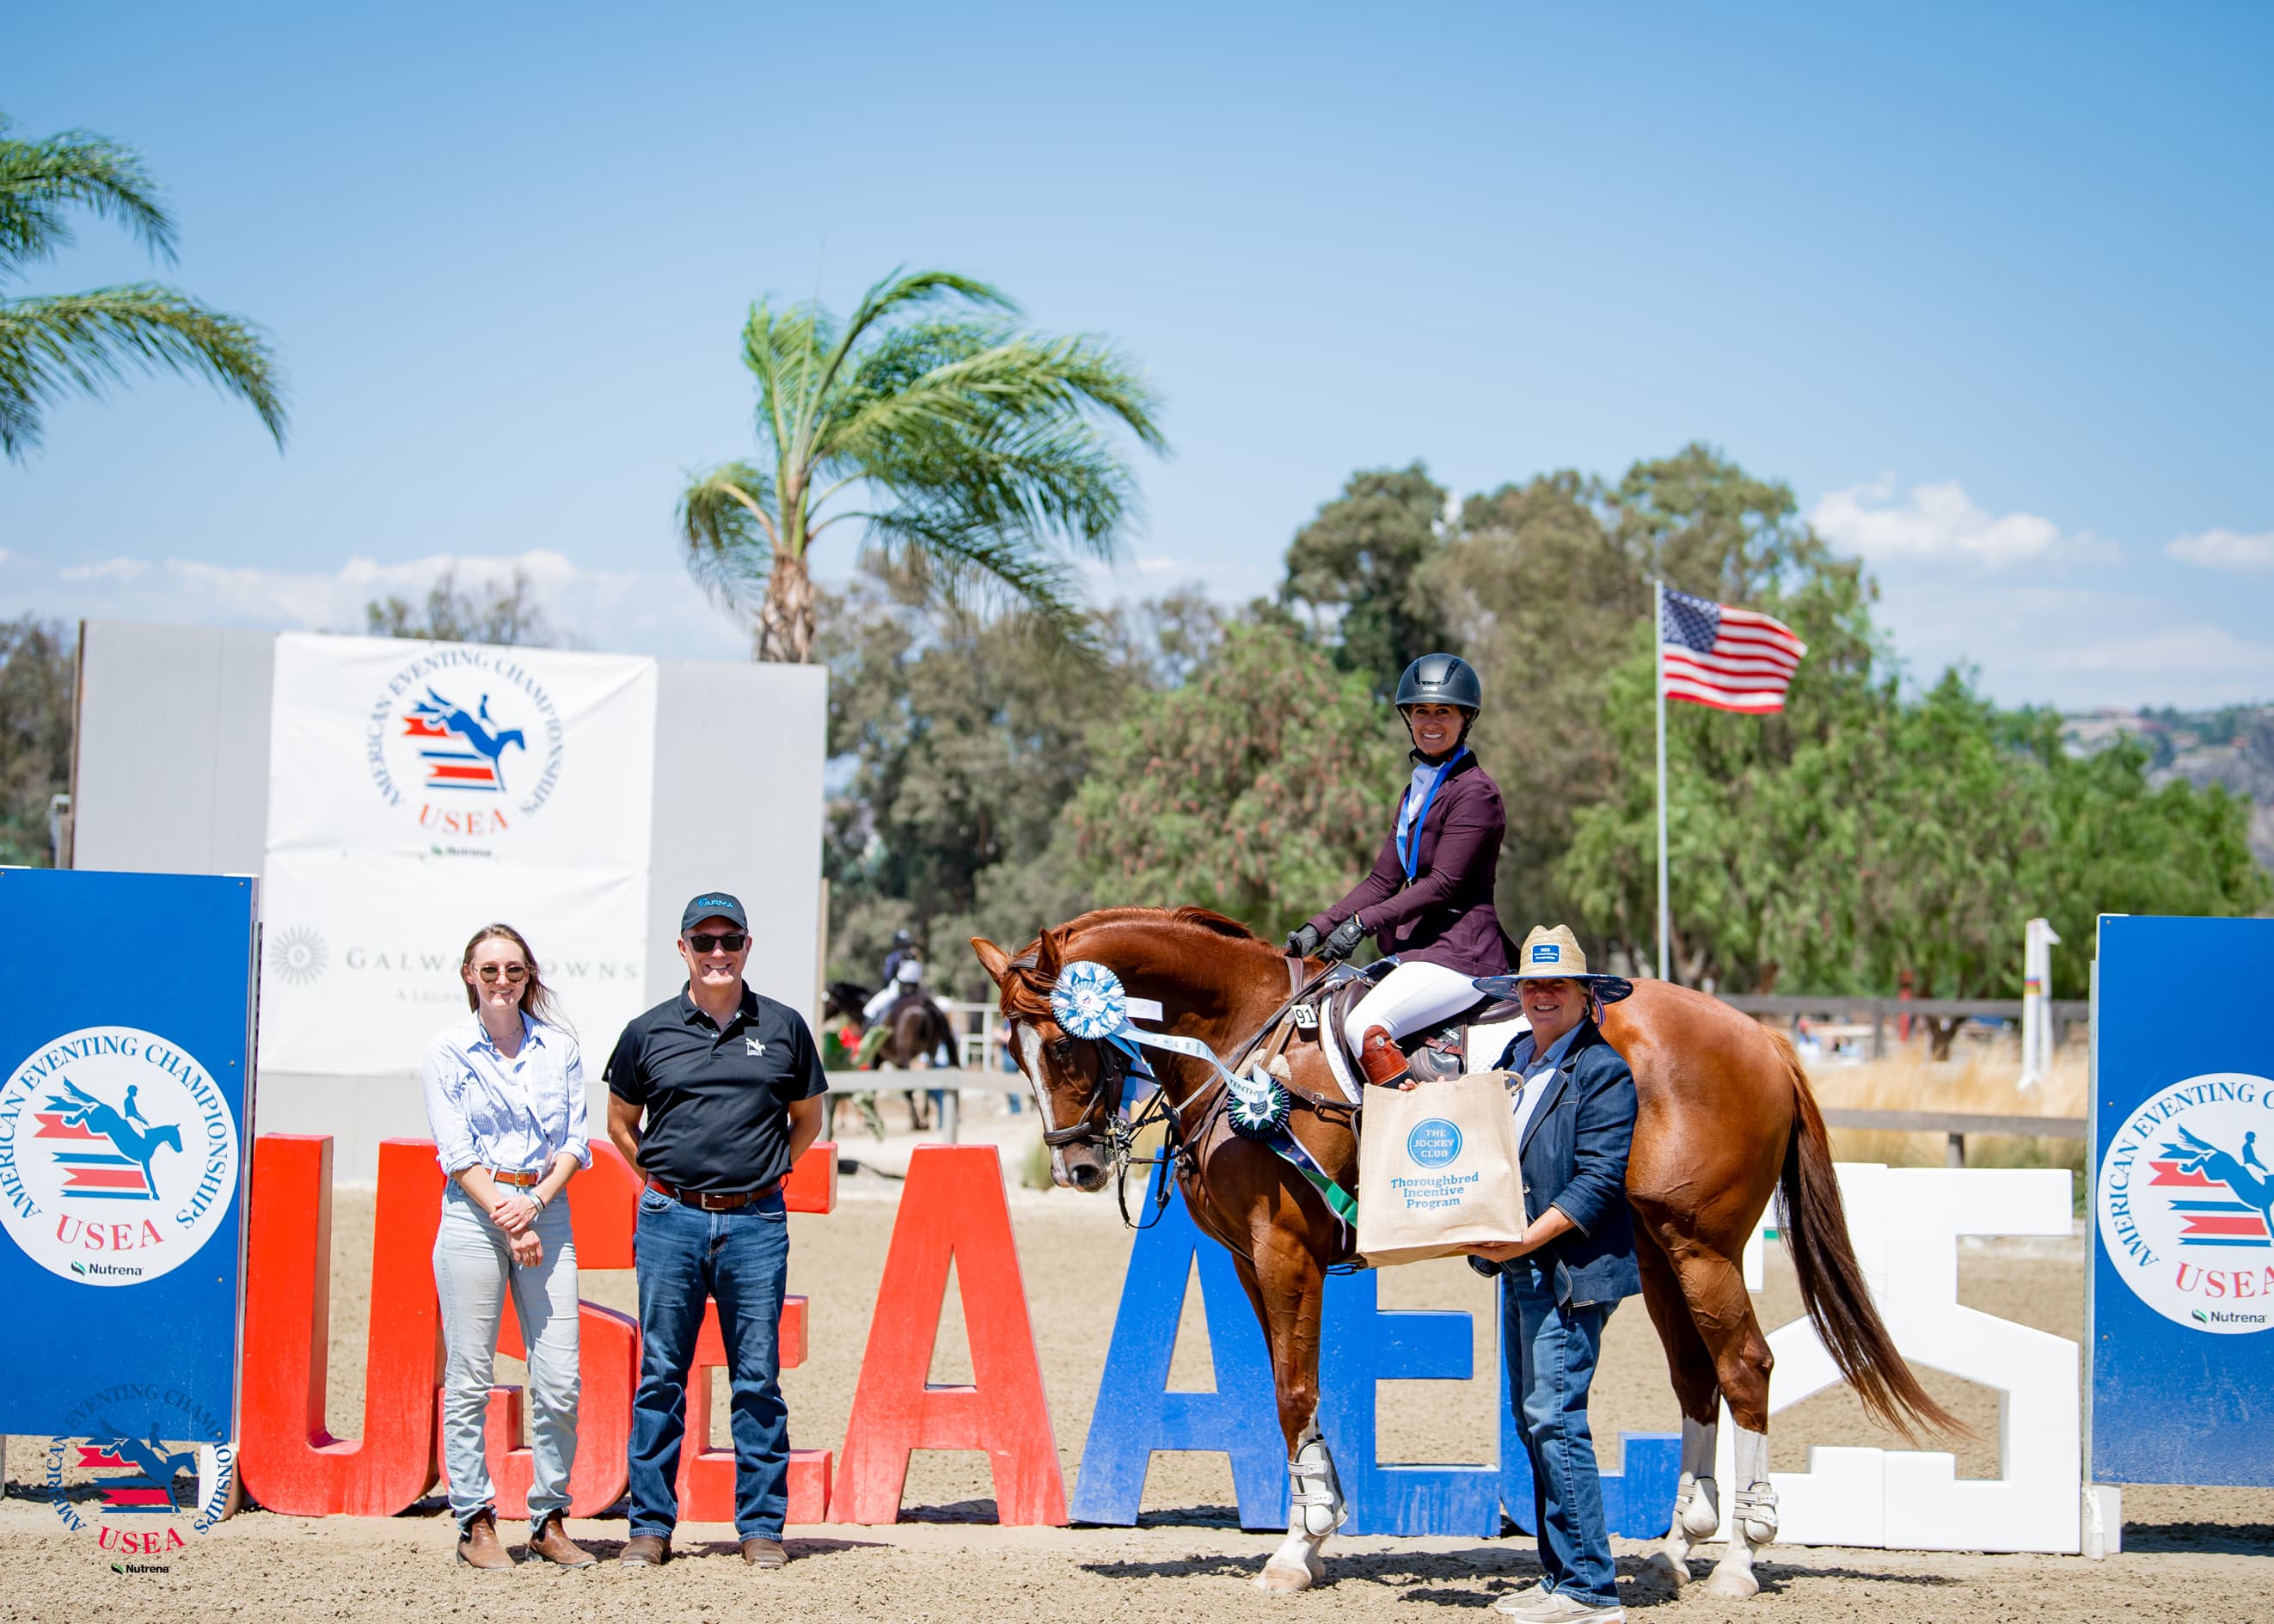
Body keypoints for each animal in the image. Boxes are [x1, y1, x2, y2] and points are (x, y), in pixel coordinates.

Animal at [973, 907, 1956, 1598]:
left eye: (1062, 1041)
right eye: (1013, 1052)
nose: (1076, 1163)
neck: (1245, 1037)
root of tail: (1760, 1035)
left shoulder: (1283, 1249)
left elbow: (1293, 1387)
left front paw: (1296, 1547)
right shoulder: (1251, 1261)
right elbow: (1287, 1391)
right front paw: (1317, 1527)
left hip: (1701, 1243)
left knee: (1744, 1364)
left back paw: (1742, 1561)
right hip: (1656, 1249)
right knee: (1695, 1374)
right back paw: (1678, 1548)